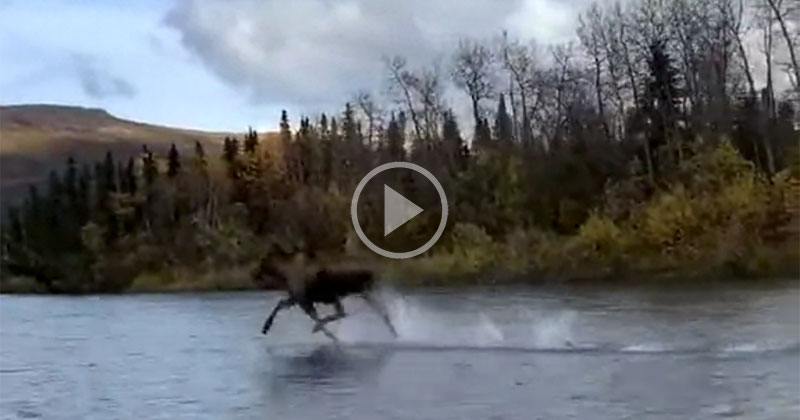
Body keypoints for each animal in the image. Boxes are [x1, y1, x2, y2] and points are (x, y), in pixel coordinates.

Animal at [253, 253, 396, 342]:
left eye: (260, 263)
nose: (254, 274)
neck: (282, 272)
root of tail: (373, 272)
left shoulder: (303, 300)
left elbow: (316, 319)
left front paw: (329, 335)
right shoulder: (297, 298)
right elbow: (280, 305)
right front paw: (265, 327)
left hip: (344, 294)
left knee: (343, 313)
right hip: (363, 293)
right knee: (383, 313)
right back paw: (395, 333)